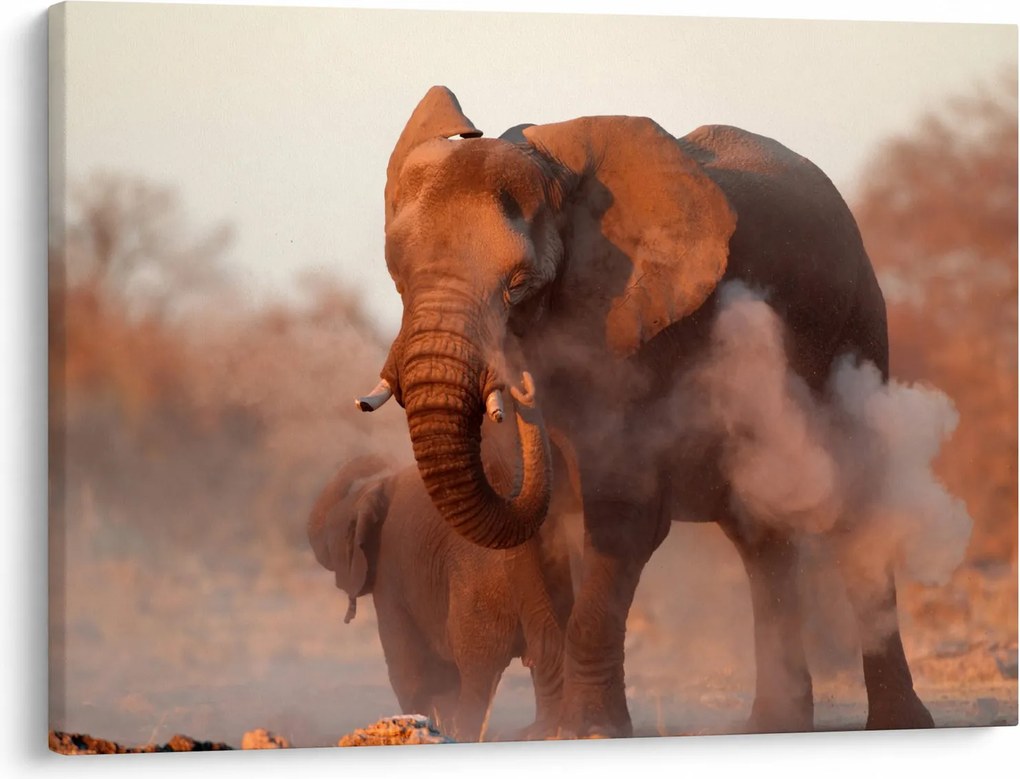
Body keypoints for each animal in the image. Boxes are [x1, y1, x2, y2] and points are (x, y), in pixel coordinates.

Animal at [307, 409, 581, 741]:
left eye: (332, 537)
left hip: (478, 594)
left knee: (477, 674)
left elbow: (408, 670)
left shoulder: (390, 574)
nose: (381, 458)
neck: (374, 491)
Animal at [353, 85, 935, 737]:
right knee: (760, 536)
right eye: (399, 277)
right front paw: (547, 734)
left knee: (856, 514)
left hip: (857, 329)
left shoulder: (643, 332)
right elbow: (531, 536)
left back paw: (898, 725)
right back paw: (771, 726)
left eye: (520, 284)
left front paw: (589, 733)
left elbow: (623, 517)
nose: (523, 393)